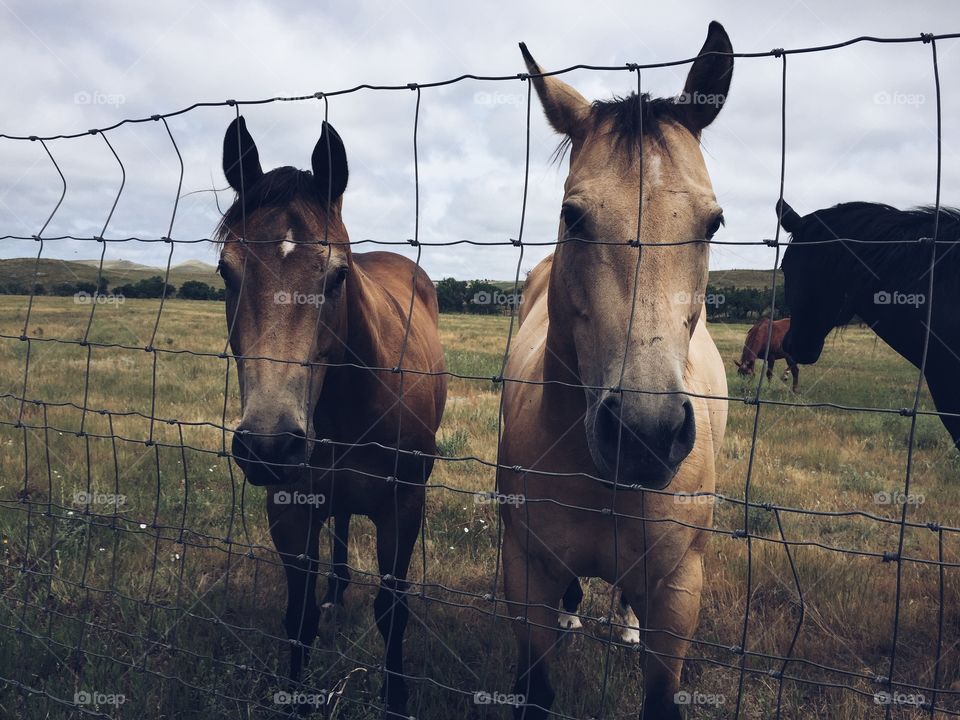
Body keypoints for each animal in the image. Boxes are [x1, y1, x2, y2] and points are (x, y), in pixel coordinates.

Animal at [216, 115, 448, 716]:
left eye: (337, 276)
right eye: (226, 273)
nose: (270, 445)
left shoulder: (403, 508)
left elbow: (393, 613)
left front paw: (396, 699)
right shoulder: (289, 510)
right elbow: (297, 620)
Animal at [498, 22, 732, 720]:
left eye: (713, 222)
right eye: (573, 216)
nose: (645, 432)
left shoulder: (679, 588)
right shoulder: (525, 570)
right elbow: (538, 686)